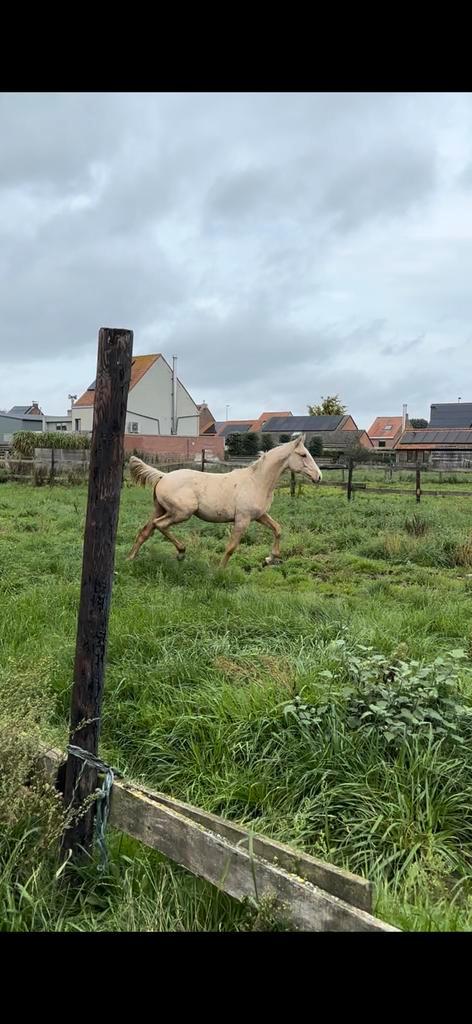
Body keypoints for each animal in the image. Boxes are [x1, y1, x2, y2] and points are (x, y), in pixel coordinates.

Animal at [126, 434, 321, 573]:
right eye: (303, 454)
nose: (318, 477)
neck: (257, 481)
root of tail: (163, 476)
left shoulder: (260, 516)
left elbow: (278, 529)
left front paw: (269, 559)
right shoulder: (242, 519)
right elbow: (231, 547)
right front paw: (219, 571)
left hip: (160, 509)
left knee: (145, 531)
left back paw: (130, 558)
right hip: (182, 513)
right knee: (160, 525)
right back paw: (181, 553)